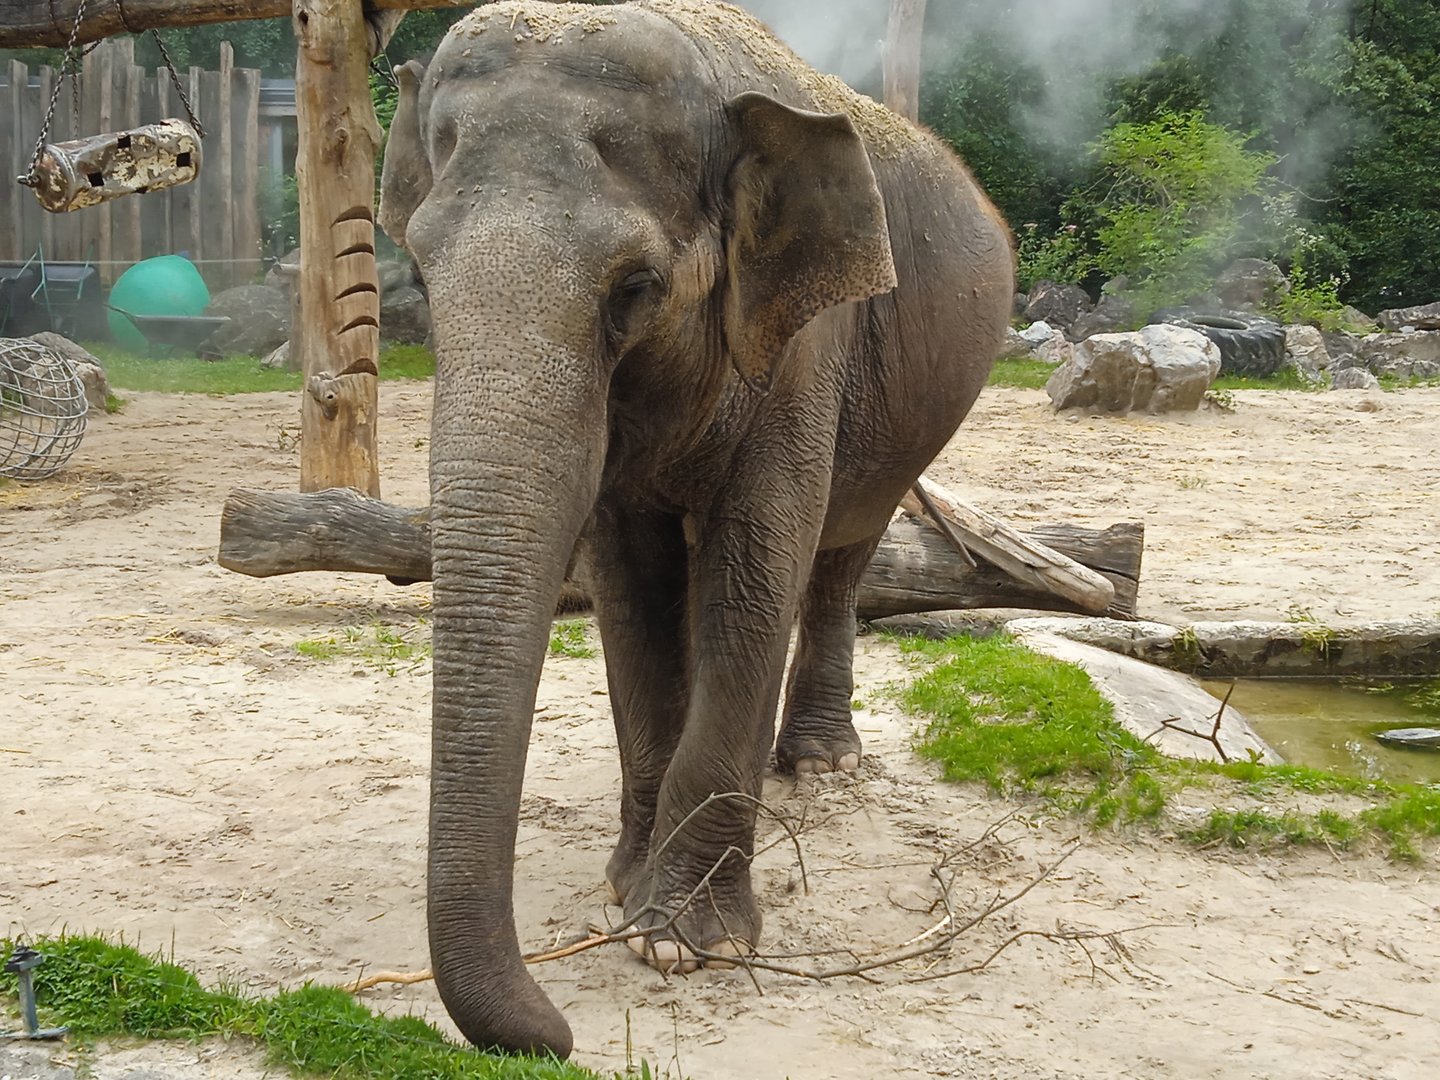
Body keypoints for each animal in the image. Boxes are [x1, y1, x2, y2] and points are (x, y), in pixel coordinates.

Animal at [378, 0, 1013, 1059]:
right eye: (420, 280)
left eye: (634, 287)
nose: (558, 1035)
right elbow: (630, 592)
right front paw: (624, 889)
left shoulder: (802, 336)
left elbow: (751, 573)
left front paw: (683, 941)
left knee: (840, 554)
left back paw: (818, 764)